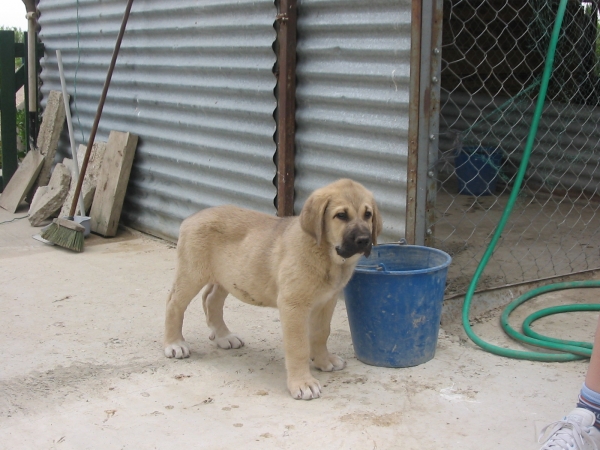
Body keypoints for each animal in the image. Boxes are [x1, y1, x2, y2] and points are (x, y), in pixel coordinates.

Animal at [162, 178, 382, 400]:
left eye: (368, 214)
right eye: (341, 216)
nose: (364, 240)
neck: (326, 255)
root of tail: (193, 217)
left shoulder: (327, 301)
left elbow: (321, 333)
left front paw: (323, 360)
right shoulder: (293, 306)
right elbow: (298, 346)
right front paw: (303, 383)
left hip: (227, 277)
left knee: (211, 299)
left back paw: (224, 336)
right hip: (192, 273)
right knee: (174, 304)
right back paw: (174, 344)